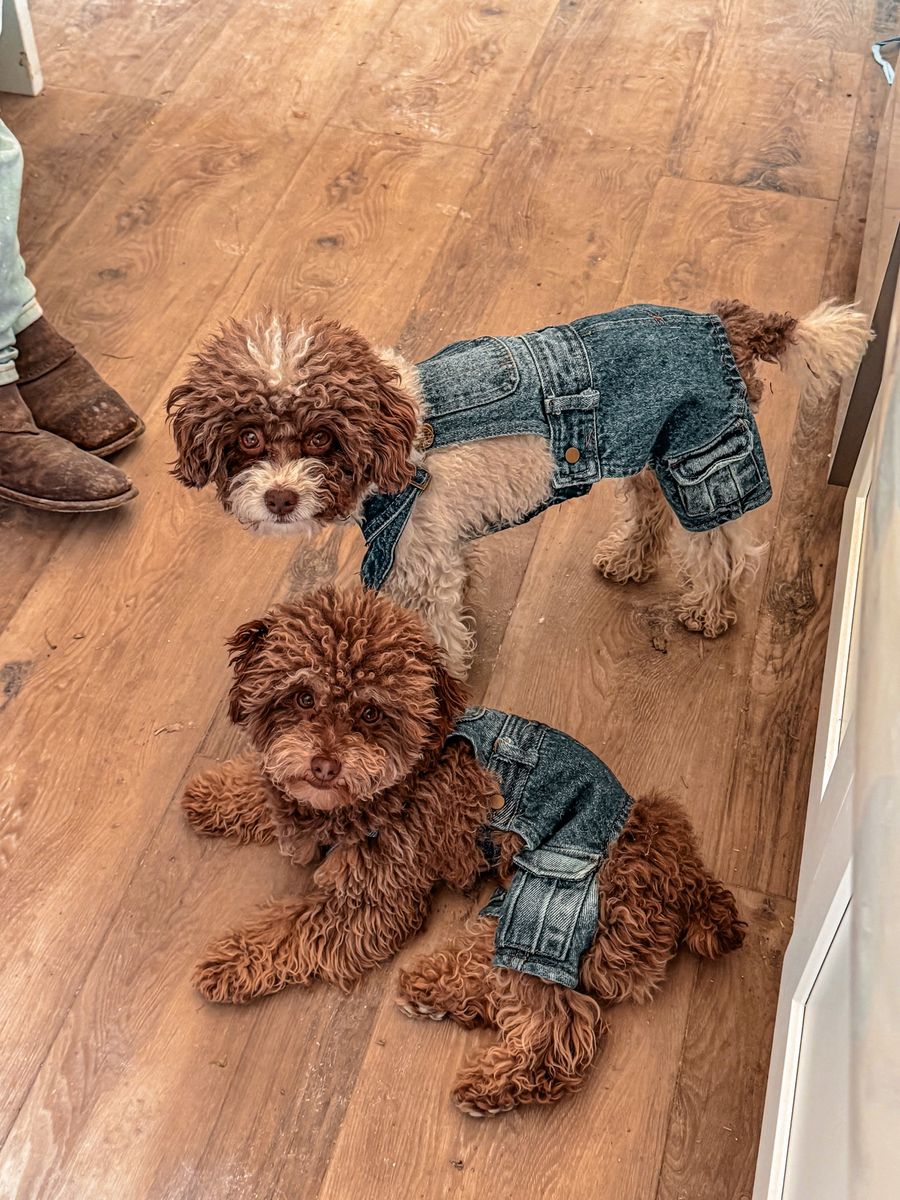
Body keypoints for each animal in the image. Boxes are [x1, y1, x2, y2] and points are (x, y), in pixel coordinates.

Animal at [167, 300, 870, 677]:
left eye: (319, 438)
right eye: (248, 438)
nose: (280, 498)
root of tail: (721, 322)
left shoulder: (418, 557)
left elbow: (436, 633)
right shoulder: (435, 542)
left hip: (703, 458)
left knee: (720, 546)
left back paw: (708, 608)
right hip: (648, 453)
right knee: (650, 512)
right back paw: (629, 558)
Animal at [181, 586, 745, 1115]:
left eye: (371, 712)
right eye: (301, 698)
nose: (324, 765)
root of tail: (682, 873)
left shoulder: (372, 901)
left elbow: (290, 929)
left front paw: (230, 963)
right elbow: (267, 787)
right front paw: (213, 794)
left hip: (544, 911)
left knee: (562, 1021)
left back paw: (493, 1082)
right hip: (518, 913)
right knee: (499, 975)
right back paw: (438, 990)